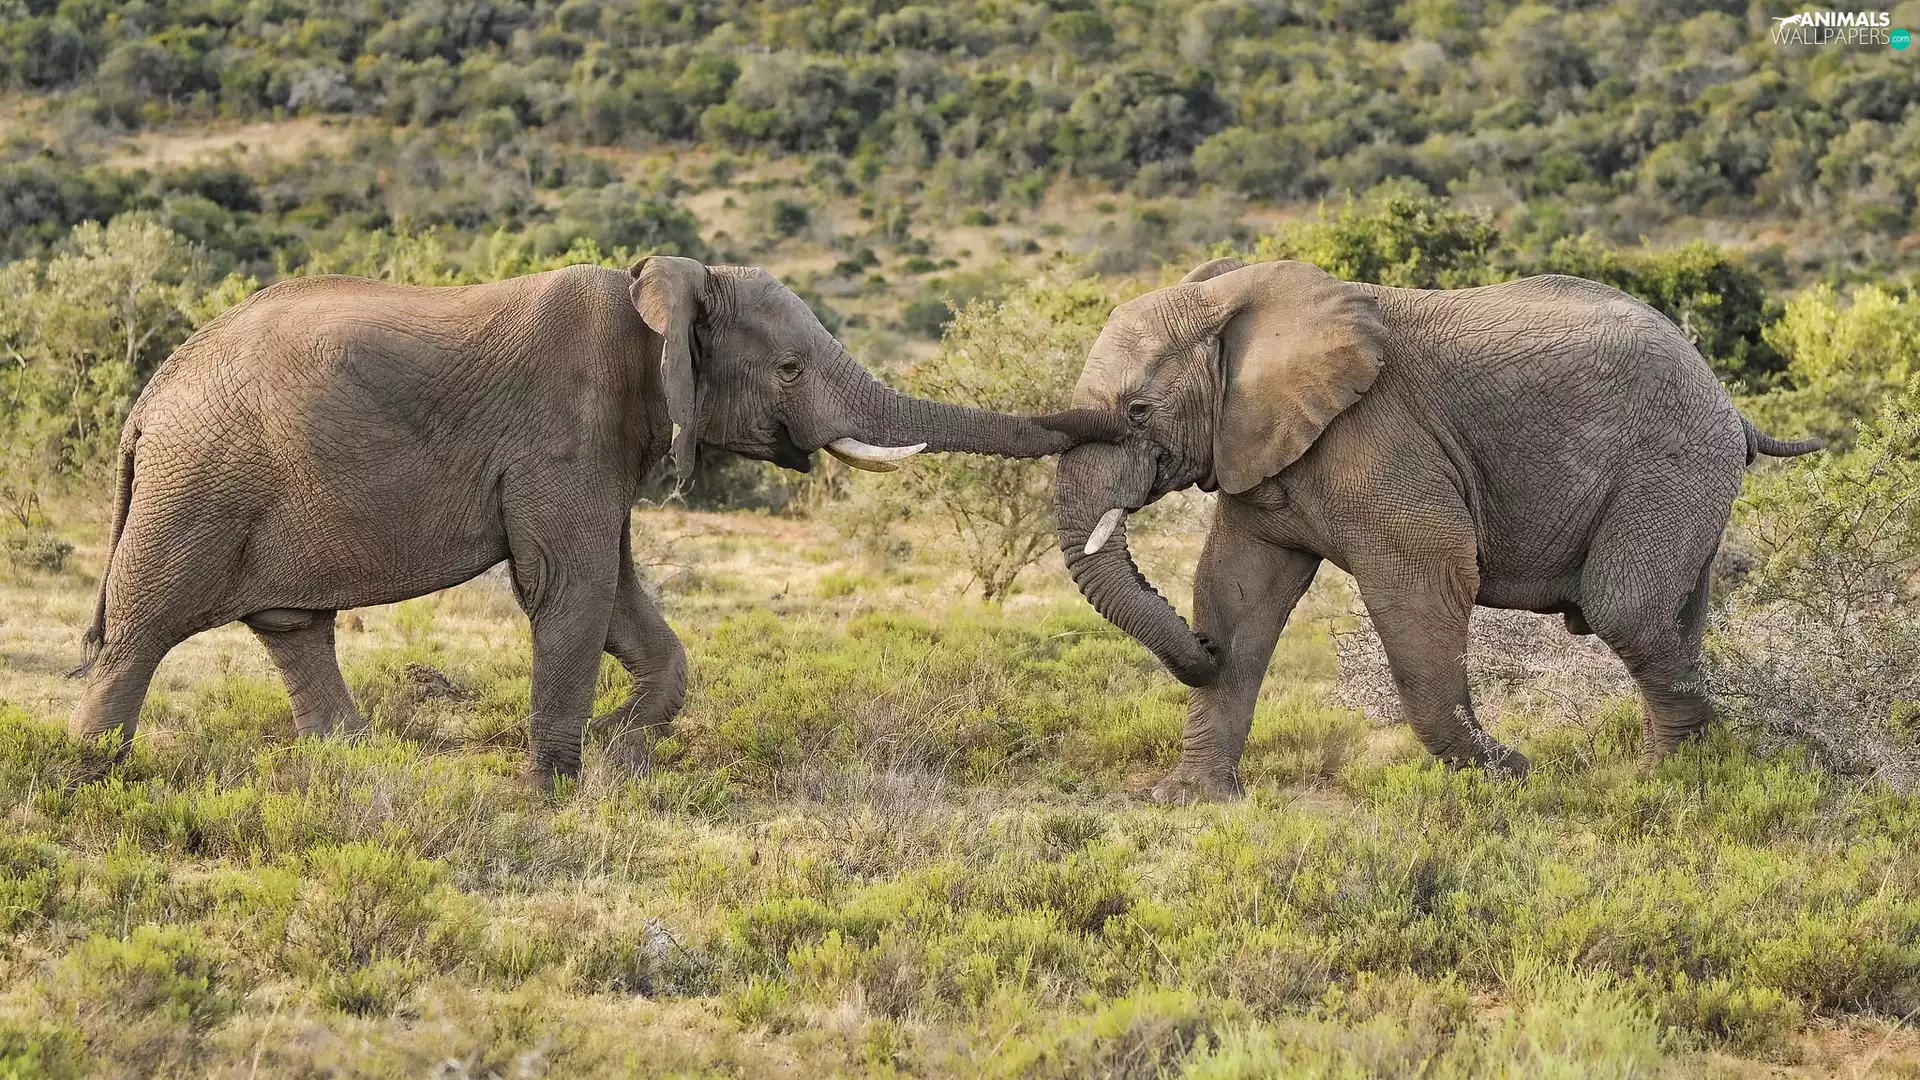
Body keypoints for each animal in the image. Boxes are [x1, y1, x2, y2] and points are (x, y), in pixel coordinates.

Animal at [71, 256, 1119, 784]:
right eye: (788, 368)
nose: (1124, 420)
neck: (661, 292)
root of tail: (148, 398)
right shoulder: (564, 433)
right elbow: (568, 592)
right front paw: (560, 787)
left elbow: (623, 602)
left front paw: (618, 751)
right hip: (195, 485)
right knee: (141, 632)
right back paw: (92, 779)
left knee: (292, 626)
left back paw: (360, 769)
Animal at [1052, 257, 1823, 803]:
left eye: (1139, 410)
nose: (1199, 651)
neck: (1237, 300)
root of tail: (1728, 399)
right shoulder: (1257, 449)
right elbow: (1239, 590)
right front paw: (1189, 799)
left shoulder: (1380, 439)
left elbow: (1423, 583)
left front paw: (1511, 776)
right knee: (1673, 614)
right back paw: (1682, 770)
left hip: (1675, 460)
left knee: (1624, 610)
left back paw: (1663, 783)